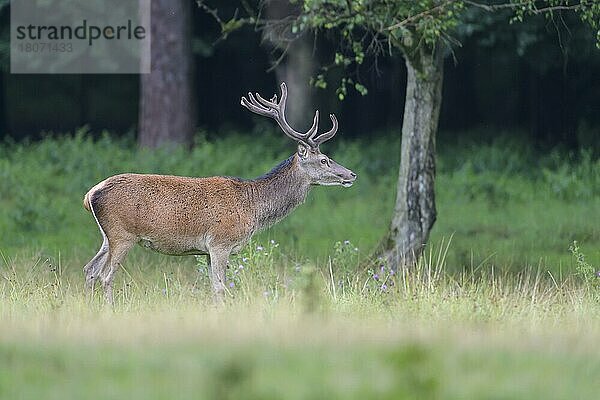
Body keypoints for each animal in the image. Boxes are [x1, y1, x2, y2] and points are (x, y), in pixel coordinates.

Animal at [83, 83, 356, 304]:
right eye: (324, 160)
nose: (351, 174)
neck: (252, 207)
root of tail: (90, 195)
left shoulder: (211, 250)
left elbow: (215, 286)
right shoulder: (220, 242)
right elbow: (220, 288)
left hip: (107, 236)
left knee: (90, 270)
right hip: (122, 234)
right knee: (105, 276)